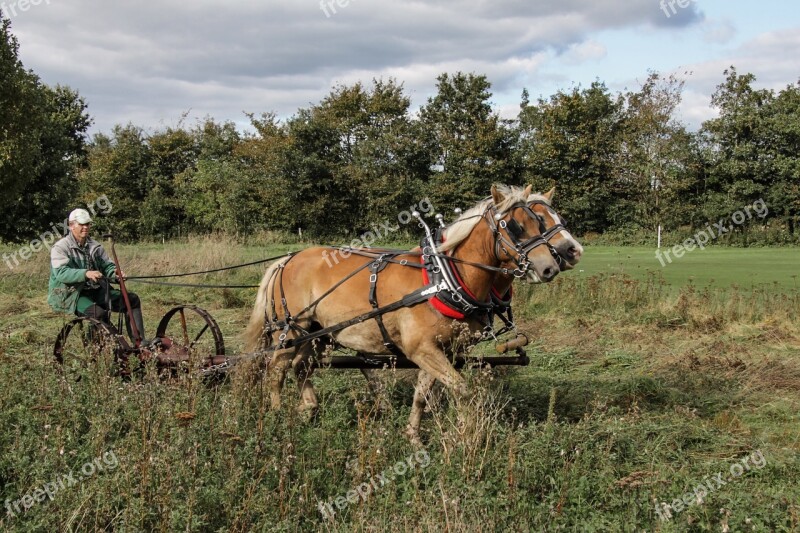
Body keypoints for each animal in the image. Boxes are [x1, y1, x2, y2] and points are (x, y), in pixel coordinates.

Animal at [244, 183, 564, 436]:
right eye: (514, 226)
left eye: (539, 223)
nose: (550, 267)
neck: (443, 278)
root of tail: (287, 260)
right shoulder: (421, 349)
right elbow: (461, 388)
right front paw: (466, 434)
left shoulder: (439, 350)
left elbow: (422, 394)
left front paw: (413, 435)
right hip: (290, 331)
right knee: (277, 370)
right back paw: (277, 416)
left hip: (316, 332)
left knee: (301, 366)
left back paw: (309, 408)